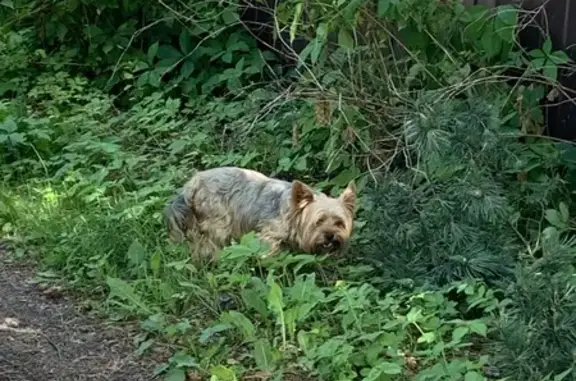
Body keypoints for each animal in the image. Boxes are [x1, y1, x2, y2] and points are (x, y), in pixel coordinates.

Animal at [162, 166, 358, 258]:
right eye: (319, 221)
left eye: (339, 223)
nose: (330, 236)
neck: (292, 212)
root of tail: (192, 184)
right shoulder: (268, 236)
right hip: (216, 222)